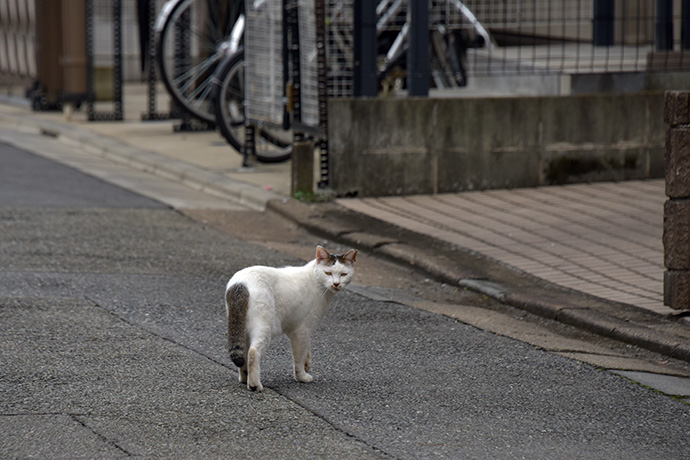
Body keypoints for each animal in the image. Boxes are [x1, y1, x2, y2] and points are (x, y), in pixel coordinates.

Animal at [226, 246, 358, 390]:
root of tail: (240, 284)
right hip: (264, 326)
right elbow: (299, 357)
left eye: (343, 274)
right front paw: (302, 377)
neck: (316, 281)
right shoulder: (301, 330)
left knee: (244, 353)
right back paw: (255, 385)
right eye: (328, 273)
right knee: (253, 352)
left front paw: (307, 363)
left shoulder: (304, 331)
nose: (336, 284)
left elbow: (307, 348)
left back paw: (245, 378)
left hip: (241, 328)